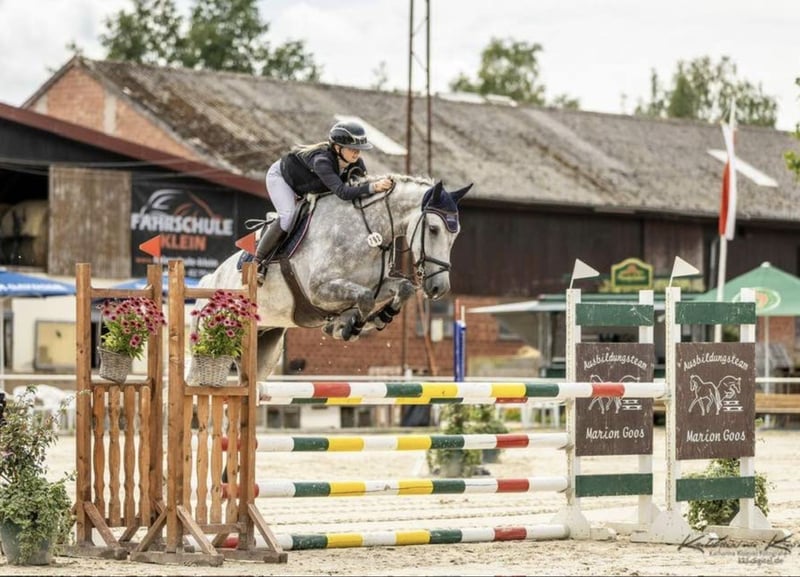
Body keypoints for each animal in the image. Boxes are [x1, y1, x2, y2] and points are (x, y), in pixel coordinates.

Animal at [189, 173, 472, 383]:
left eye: (456, 235)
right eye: (433, 229)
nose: (439, 287)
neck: (366, 231)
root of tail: (209, 280)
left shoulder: (376, 284)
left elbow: (402, 289)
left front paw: (376, 319)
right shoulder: (319, 289)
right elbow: (364, 299)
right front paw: (346, 326)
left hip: (263, 346)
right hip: (210, 338)